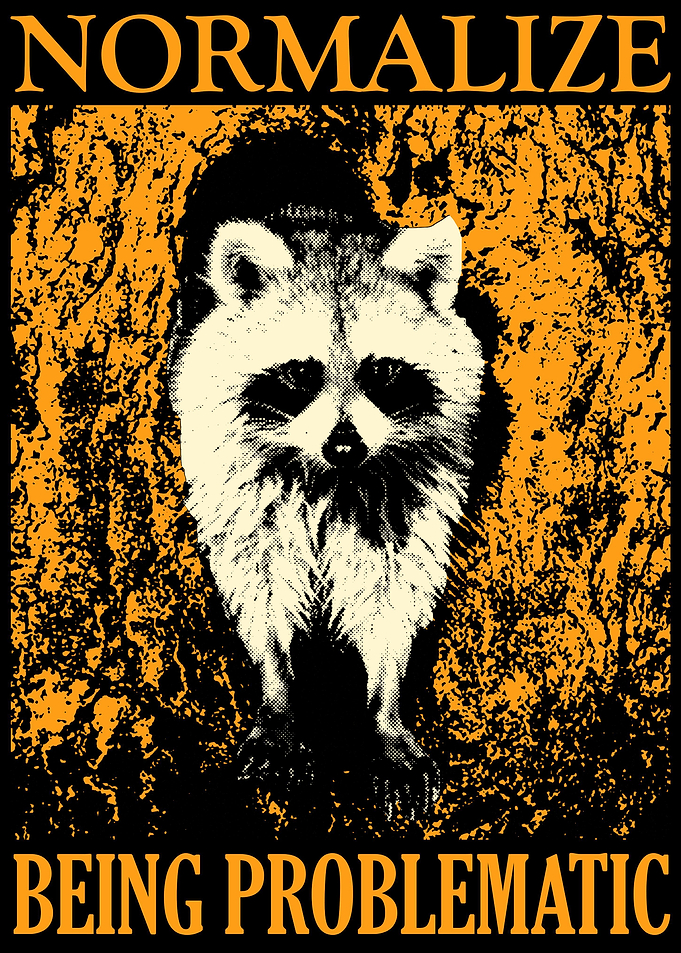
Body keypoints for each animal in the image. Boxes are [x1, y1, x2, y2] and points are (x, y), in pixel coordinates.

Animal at [168, 136, 486, 819]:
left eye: (382, 370)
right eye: (299, 374)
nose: (345, 445)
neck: (331, 477)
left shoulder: (407, 489)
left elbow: (392, 591)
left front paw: (385, 714)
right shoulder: (236, 476)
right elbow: (259, 588)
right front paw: (278, 701)